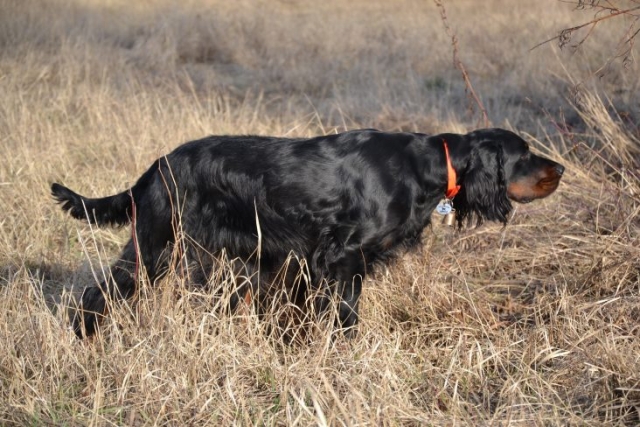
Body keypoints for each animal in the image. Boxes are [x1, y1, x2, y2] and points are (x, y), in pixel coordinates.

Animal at [52, 127, 564, 338]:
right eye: (525, 153)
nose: (560, 168)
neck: (425, 165)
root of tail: (157, 166)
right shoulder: (342, 257)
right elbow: (344, 314)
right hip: (156, 243)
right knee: (100, 291)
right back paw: (84, 338)